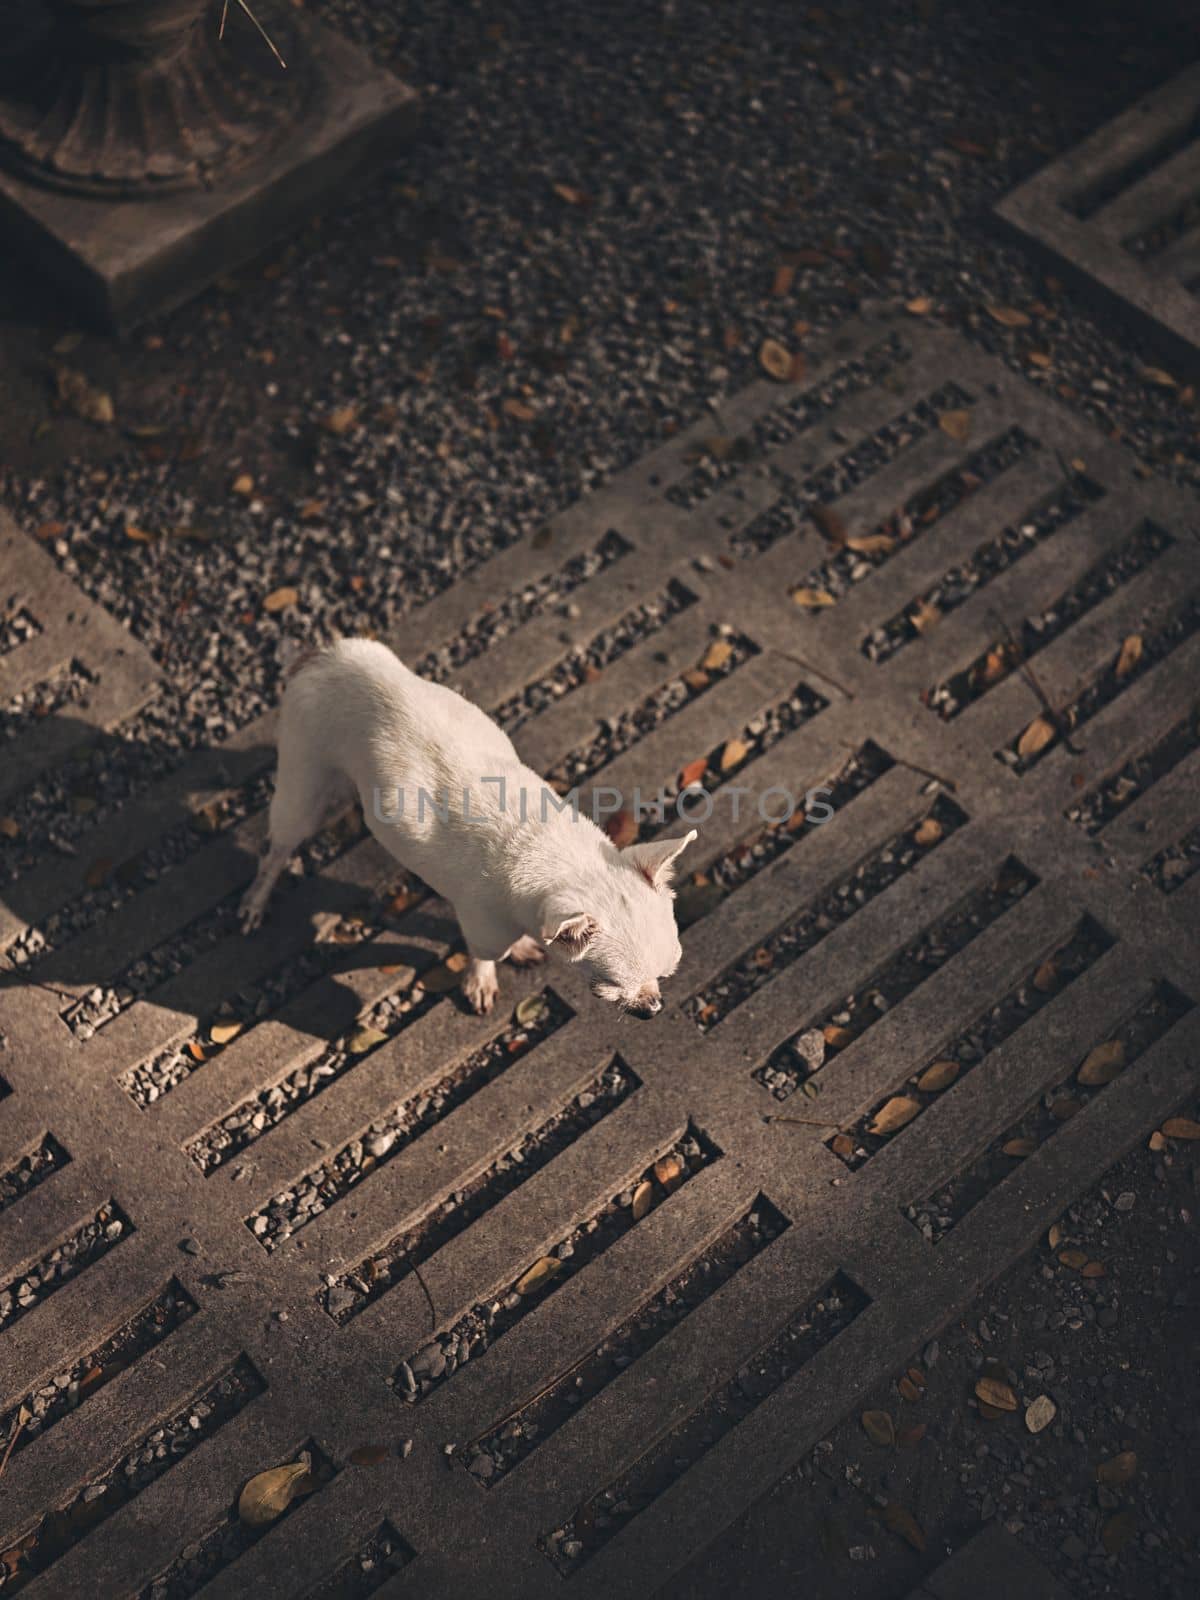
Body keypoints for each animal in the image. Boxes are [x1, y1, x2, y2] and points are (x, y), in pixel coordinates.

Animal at [241, 633, 694, 1011]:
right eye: (610, 987)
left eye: (665, 974)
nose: (654, 1006)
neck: (552, 852)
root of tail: (324, 655)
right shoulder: (484, 927)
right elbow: (486, 953)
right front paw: (483, 978)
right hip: (303, 785)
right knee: (276, 849)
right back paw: (255, 902)